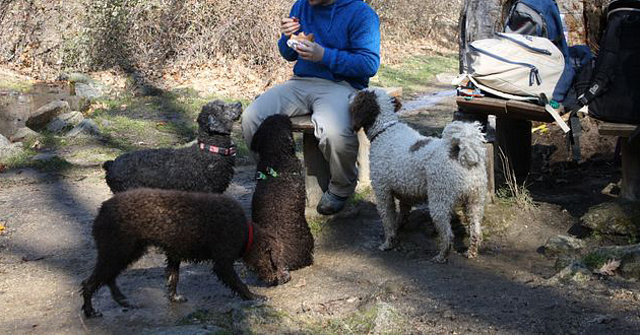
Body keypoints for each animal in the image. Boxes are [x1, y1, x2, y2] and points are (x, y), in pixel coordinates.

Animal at [80, 188, 260, 318]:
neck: (245, 232)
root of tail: (102, 208)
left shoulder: (175, 254)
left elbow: (173, 278)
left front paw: (174, 297)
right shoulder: (223, 263)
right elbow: (238, 283)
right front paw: (252, 296)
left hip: (125, 252)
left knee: (109, 278)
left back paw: (122, 300)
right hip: (117, 252)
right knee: (90, 283)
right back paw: (90, 311)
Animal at [348, 88, 488, 264]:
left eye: (360, 95)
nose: (349, 95)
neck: (385, 130)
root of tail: (461, 153)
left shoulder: (383, 193)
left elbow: (388, 221)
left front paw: (388, 243)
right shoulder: (405, 195)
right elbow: (401, 216)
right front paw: (398, 230)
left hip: (439, 202)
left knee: (448, 235)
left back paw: (441, 256)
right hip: (474, 202)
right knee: (476, 231)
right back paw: (471, 252)